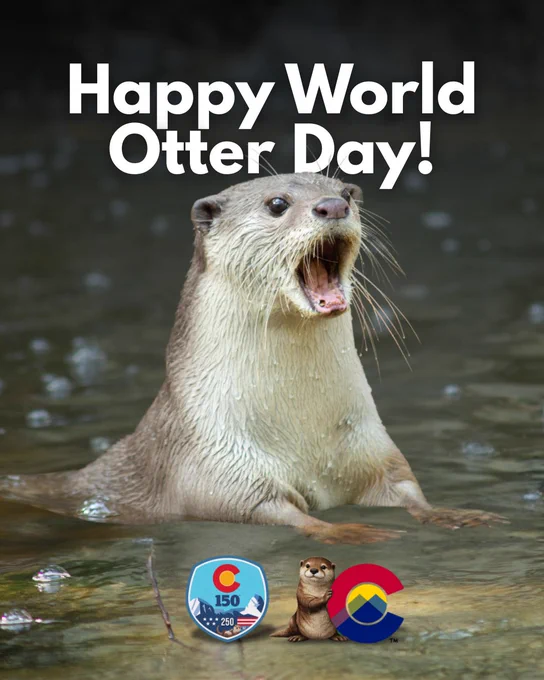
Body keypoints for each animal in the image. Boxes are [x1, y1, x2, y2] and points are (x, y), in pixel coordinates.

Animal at [0, 173, 507, 543]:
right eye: (278, 203)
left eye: (346, 191)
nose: (333, 206)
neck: (303, 430)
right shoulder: (219, 465)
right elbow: (277, 512)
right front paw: (348, 530)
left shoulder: (370, 447)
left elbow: (406, 489)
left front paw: (455, 515)